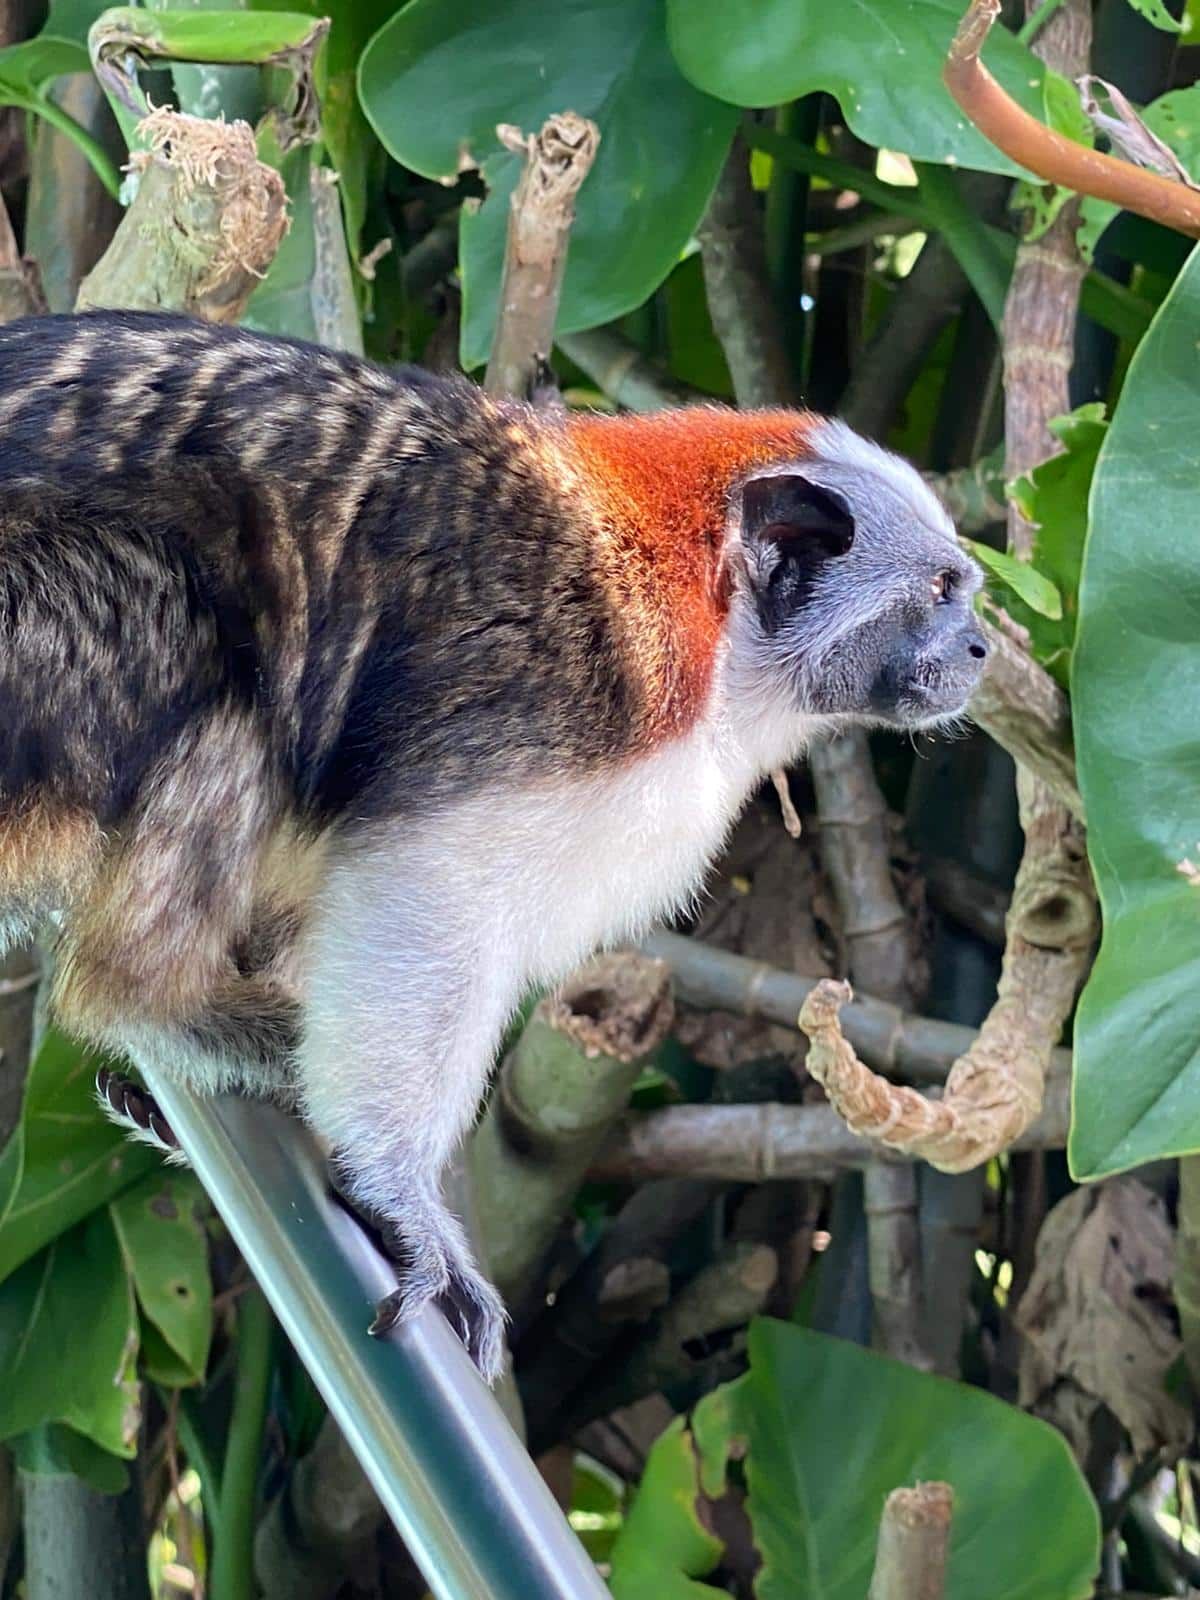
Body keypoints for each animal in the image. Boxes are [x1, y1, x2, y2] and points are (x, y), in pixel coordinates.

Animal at [0, 309, 987, 1382]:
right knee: (208, 638)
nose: (982, 649)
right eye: (940, 590)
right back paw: (160, 1000)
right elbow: (427, 896)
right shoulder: (577, 690)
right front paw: (395, 1188)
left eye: (967, 593)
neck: (720, 626)